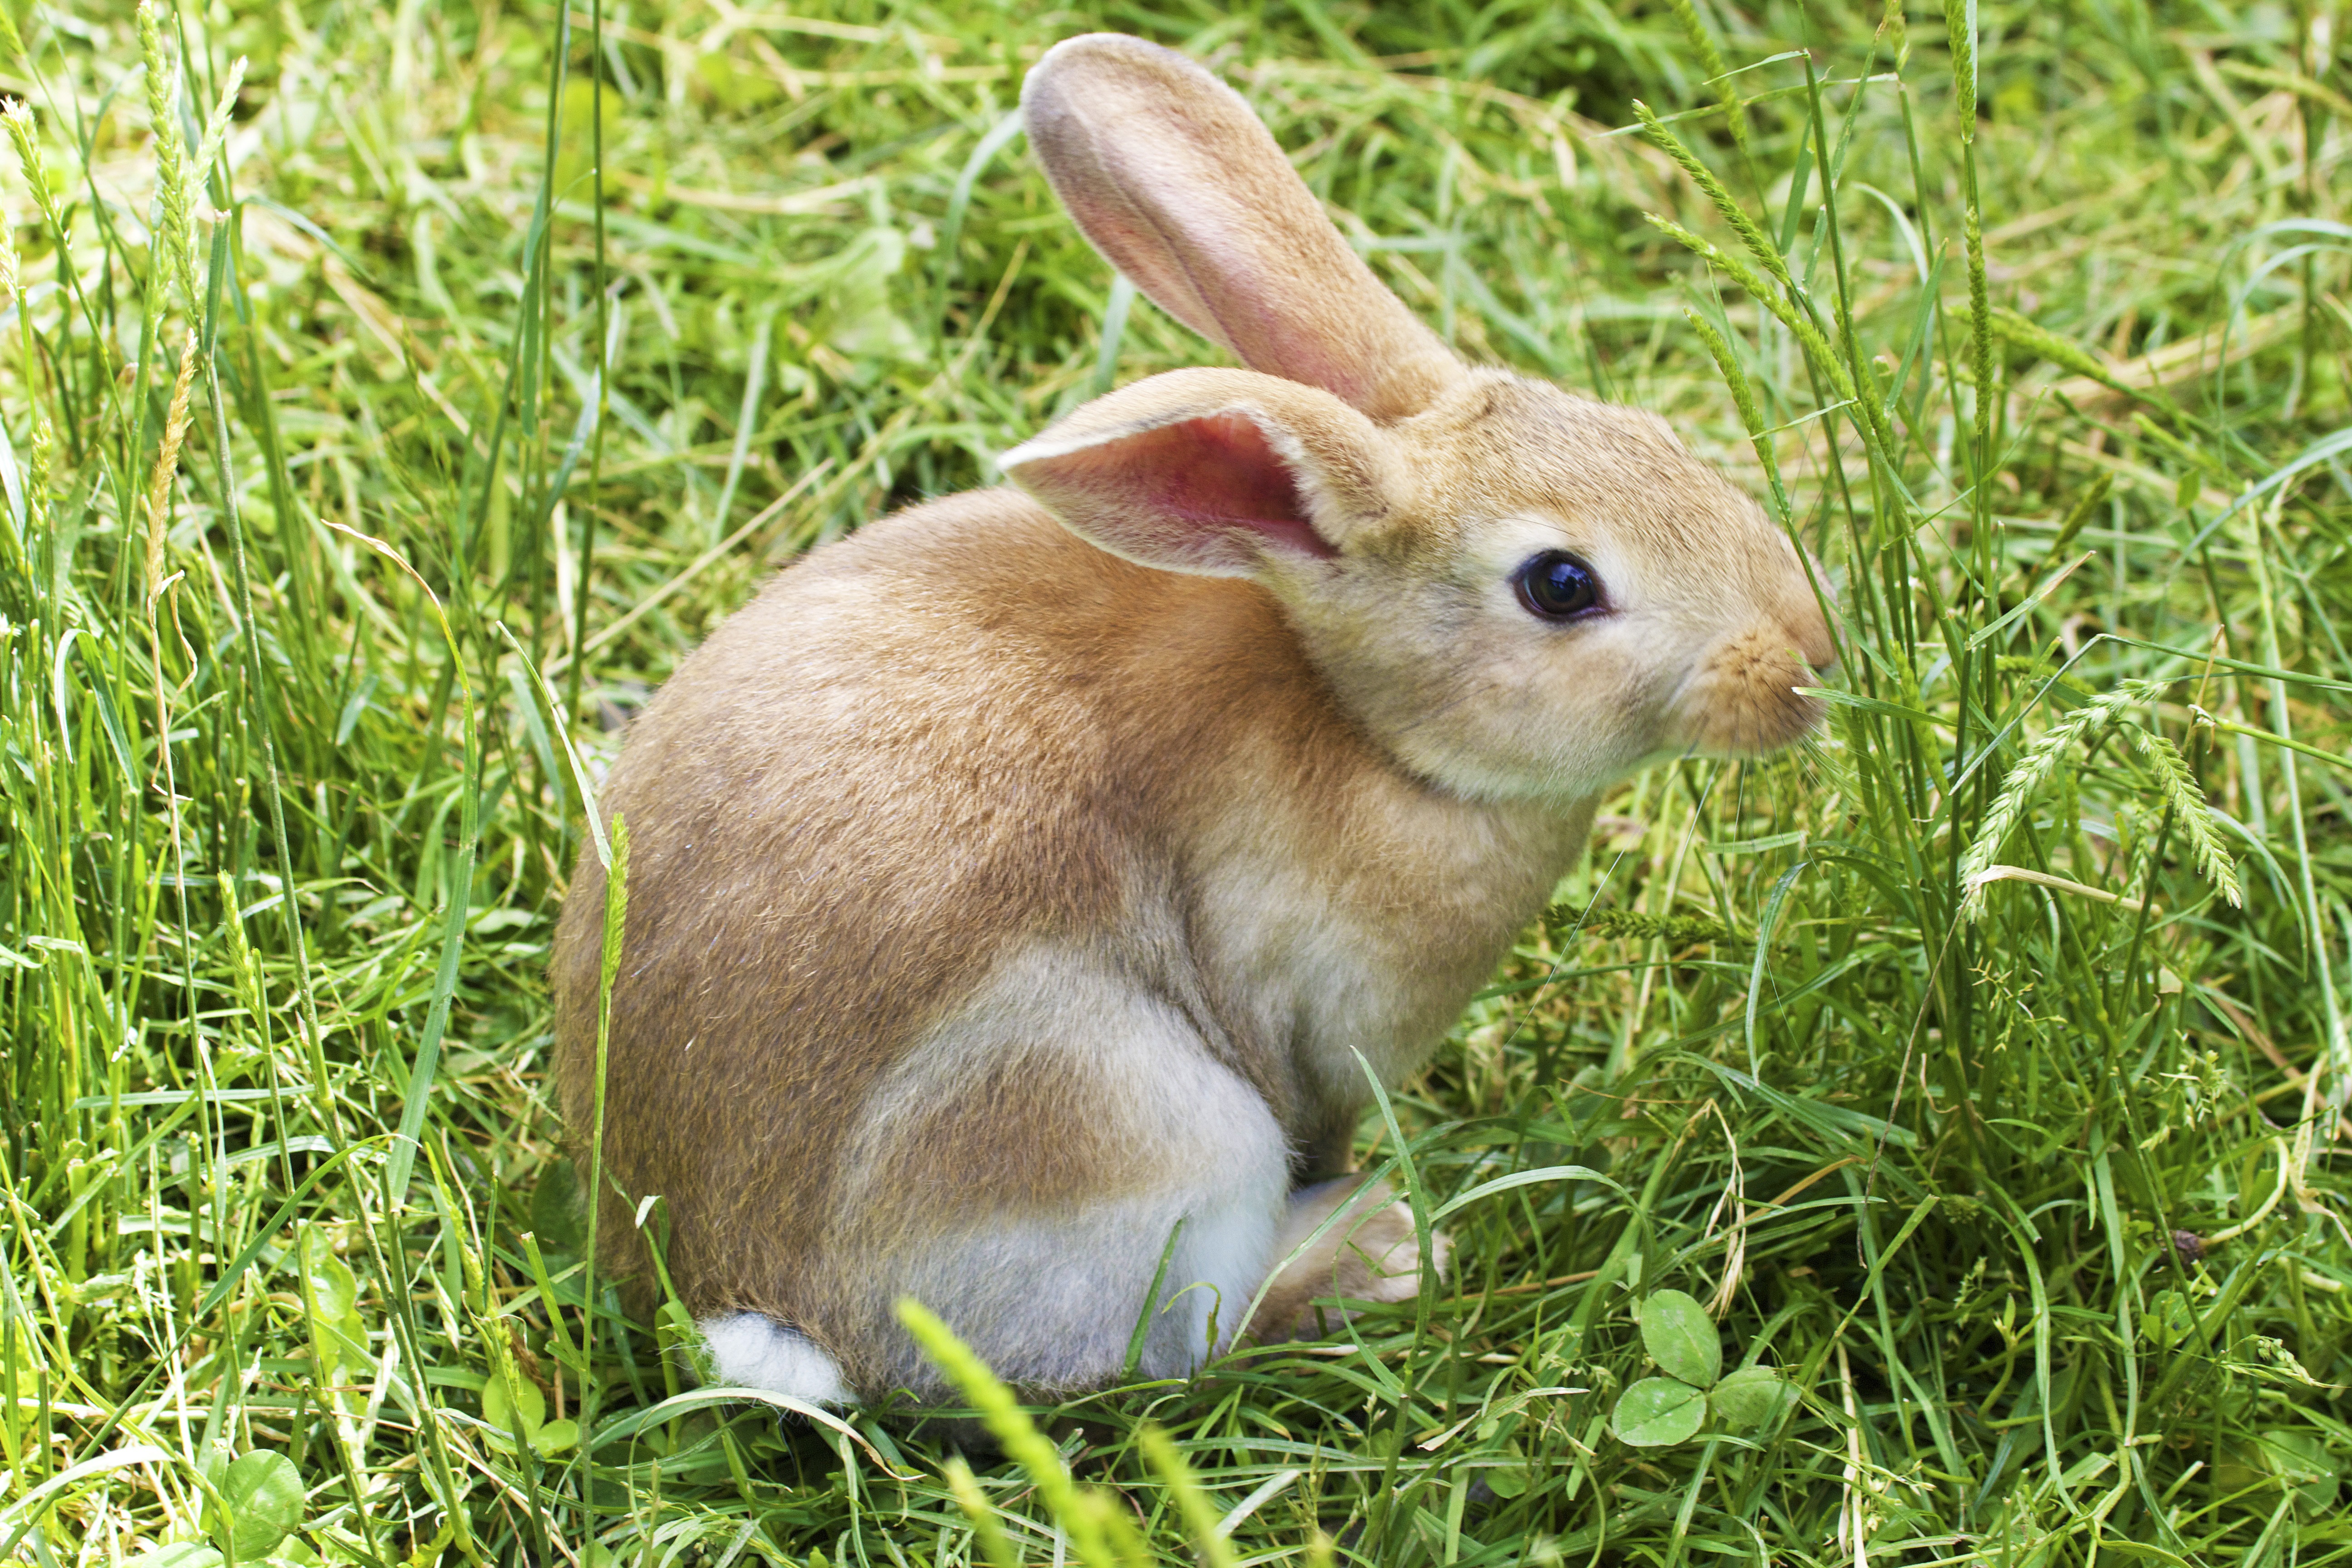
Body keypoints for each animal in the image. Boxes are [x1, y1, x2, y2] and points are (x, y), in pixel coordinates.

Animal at [555, 34, 1834, 1410]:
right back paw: (1376, 1253)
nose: (1807, 652)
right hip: (1129, 1123)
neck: (1372, 734)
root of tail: (750, 1299)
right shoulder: (1308, 1023)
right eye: (1559, 585)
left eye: (1652, 437)